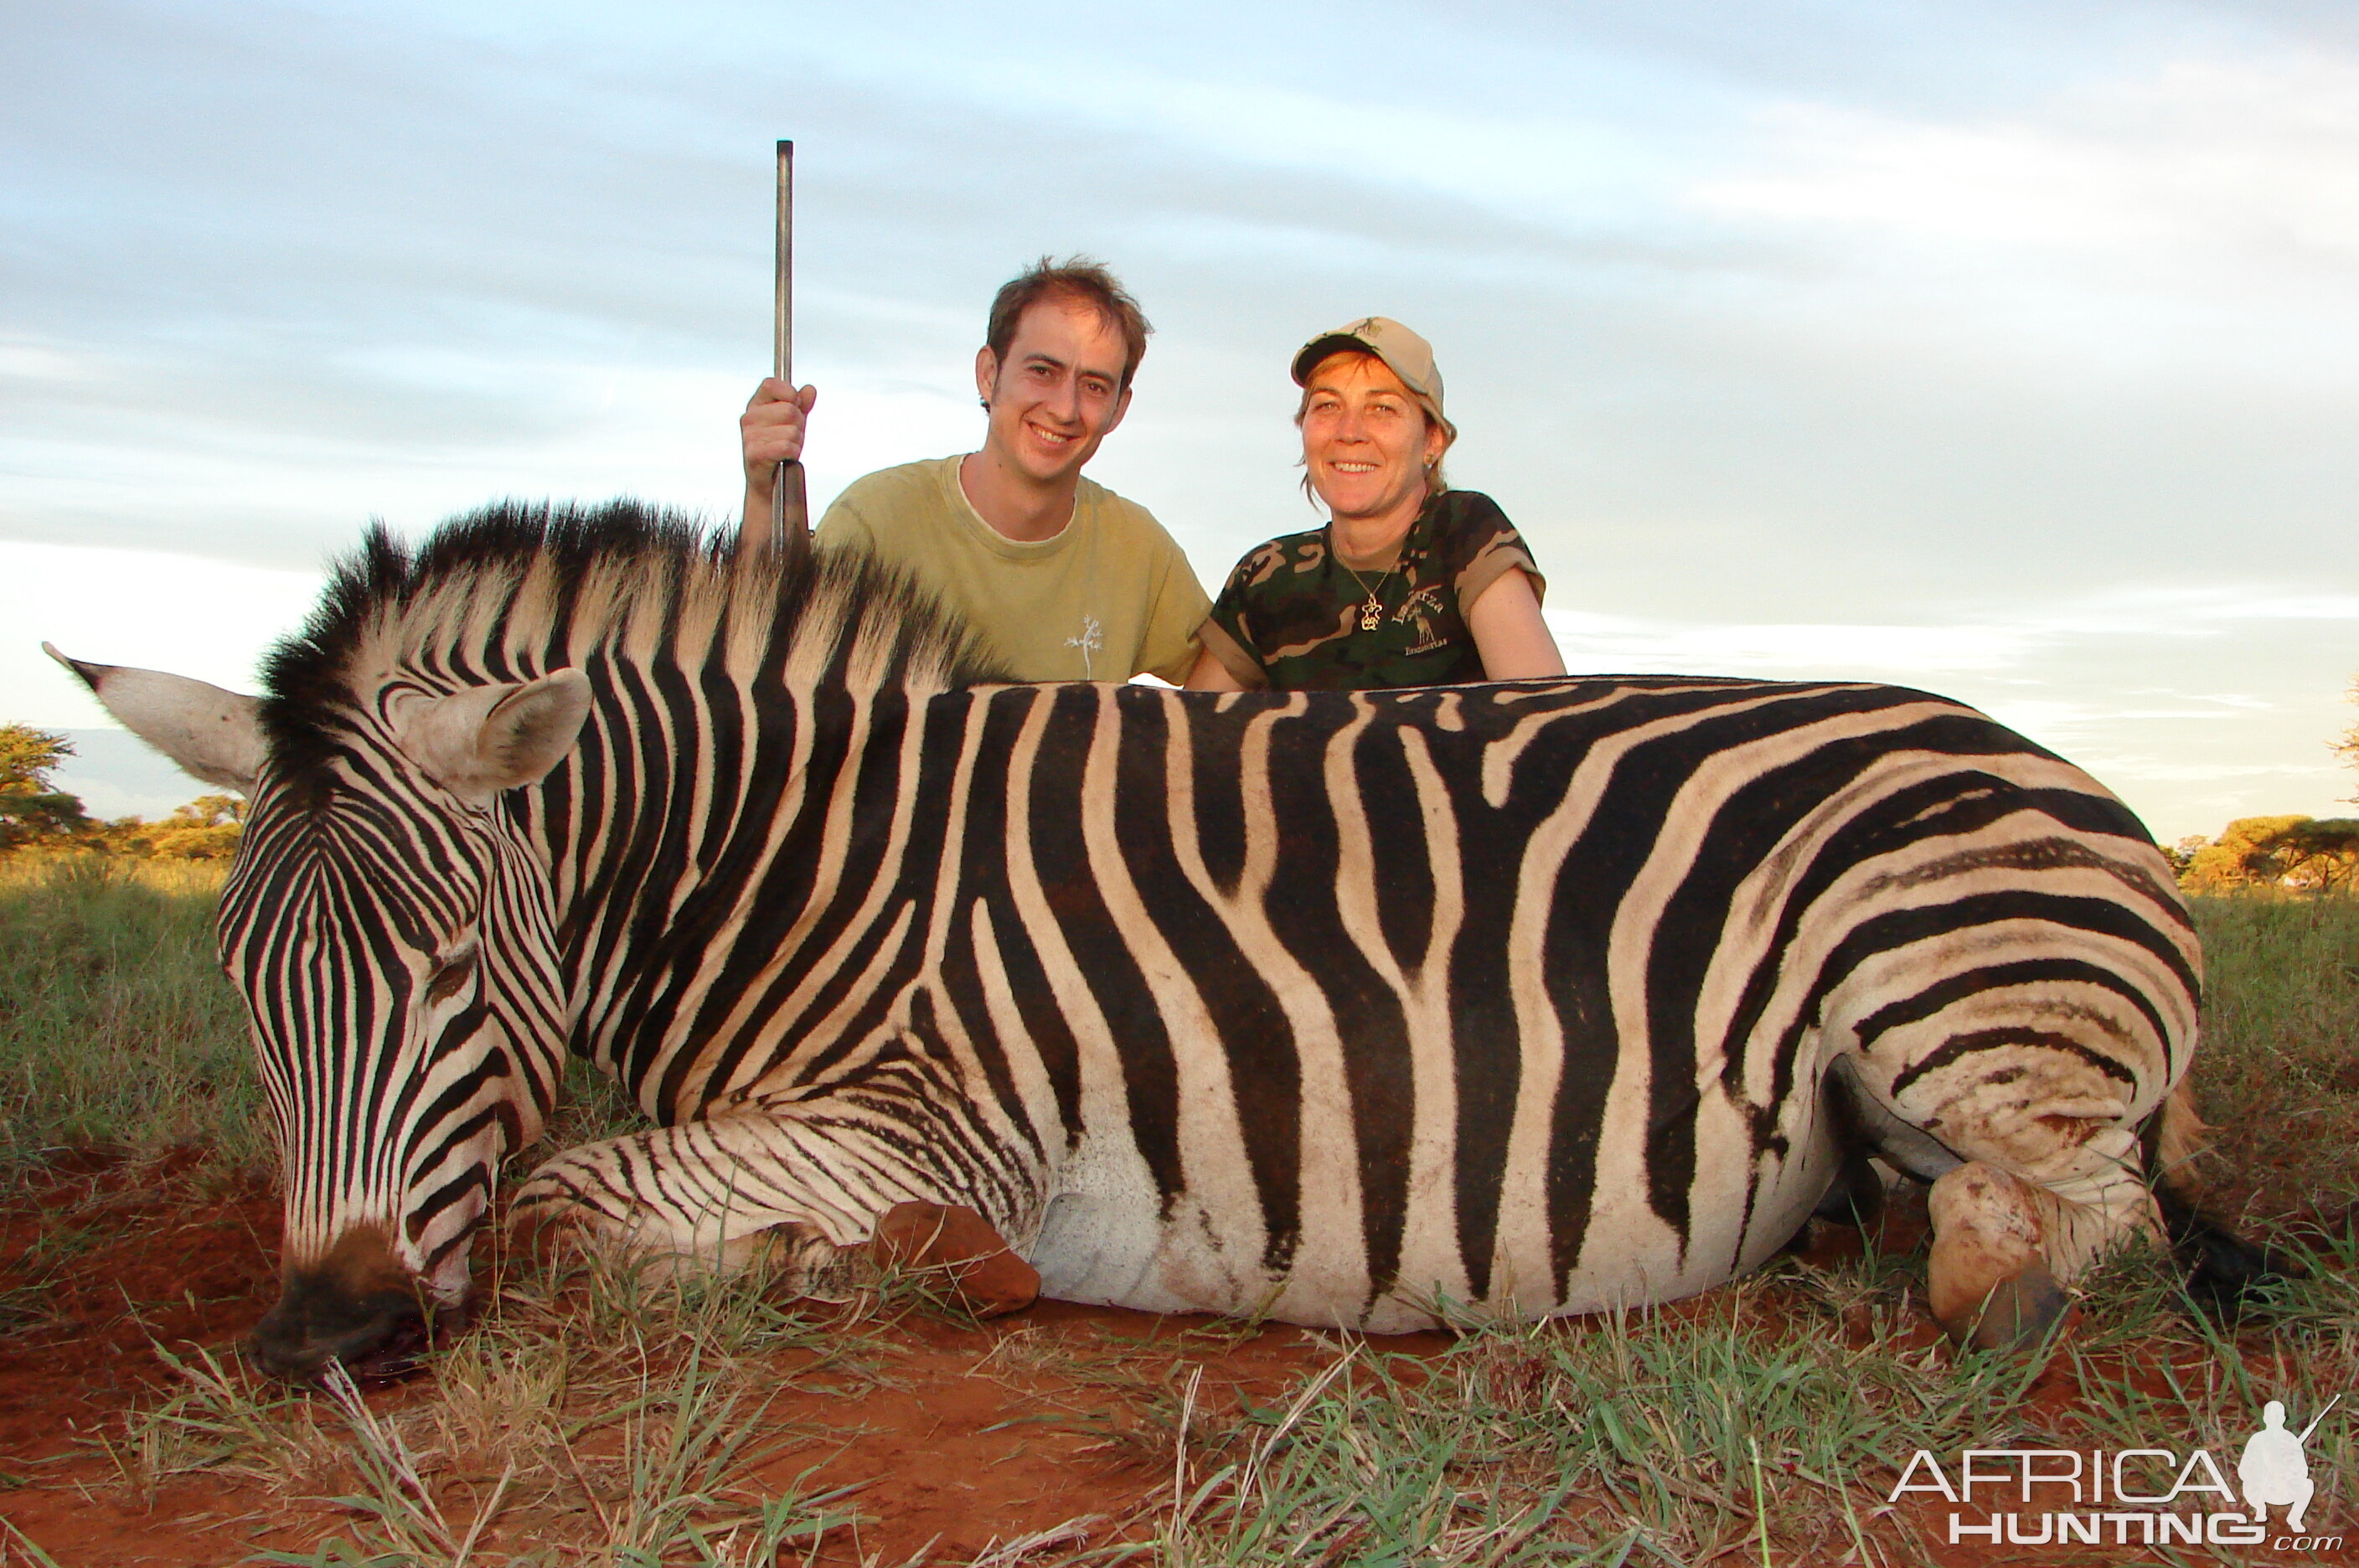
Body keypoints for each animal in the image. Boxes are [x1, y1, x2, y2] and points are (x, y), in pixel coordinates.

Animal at [45, 497, 2236, 1367]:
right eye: (240, 987)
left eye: (440, 973)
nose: (319, 1341)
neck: (800, 859)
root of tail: (2056, 770)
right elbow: (572, 1192)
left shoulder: (940, 1125)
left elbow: (572, 1199)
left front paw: (910, 1272)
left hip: (1943, 990)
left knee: (2084, 1218)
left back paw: (1972, 1279)